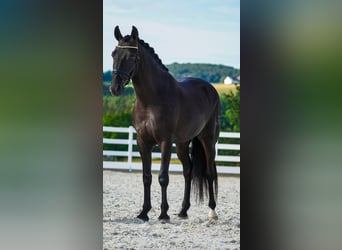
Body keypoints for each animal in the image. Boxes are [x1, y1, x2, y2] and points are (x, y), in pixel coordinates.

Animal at [111, 25, 220, 221]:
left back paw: (212, 211)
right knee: (188, 171)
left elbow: (163, 177)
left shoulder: (165, 142)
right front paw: (144, 213)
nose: (114, 88)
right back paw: (183, 211)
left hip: (208, 140)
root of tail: (210, 89)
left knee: (209, 172)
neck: (152, 99)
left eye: (131, 57)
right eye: (113, 54)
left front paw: (163, 214)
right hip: (183, 143)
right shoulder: (142, 142)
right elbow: (146, 177)